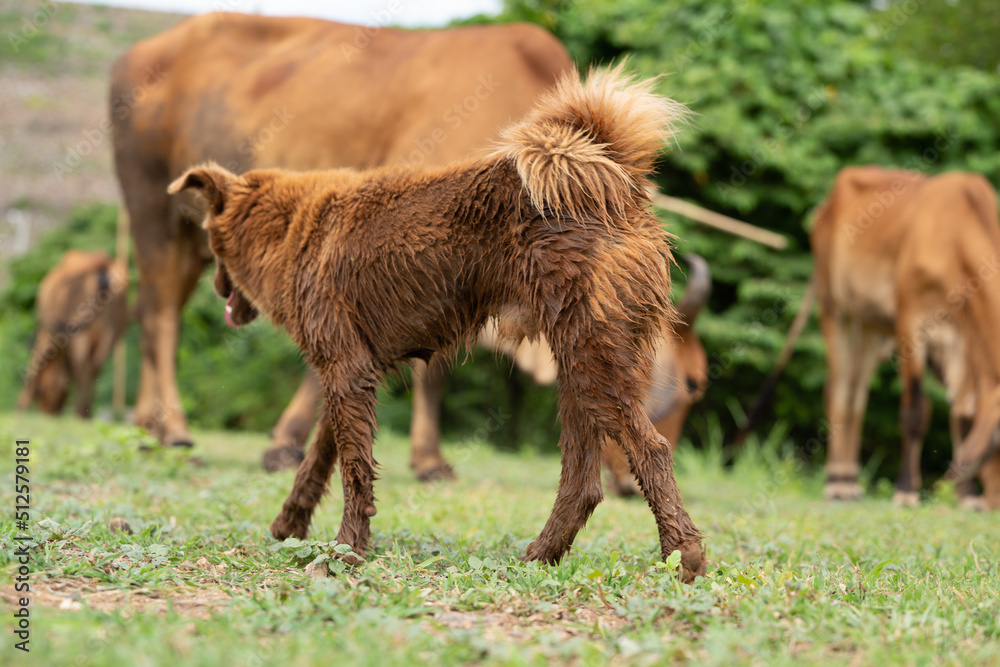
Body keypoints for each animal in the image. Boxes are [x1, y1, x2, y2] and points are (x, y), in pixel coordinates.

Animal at [17, 250, 129, 418]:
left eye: (42, 392)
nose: (49, 412)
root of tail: (100, 263)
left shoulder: (47, 336)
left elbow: (34, 366)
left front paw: (20, 407)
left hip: (80, 335)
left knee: (83, 369)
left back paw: (79, 413)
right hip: (109, 335)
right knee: (92, 370)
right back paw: (85, 413)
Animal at [170, 66, 704, 580]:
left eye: (211, 243)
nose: (217, 290)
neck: (291, 226)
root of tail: (617, 178)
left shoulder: (346, 371)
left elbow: (354, 471)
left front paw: (346, 551)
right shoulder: (348, 374)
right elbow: (319, 460)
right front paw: (291, 525)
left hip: (593, 360)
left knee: (651, 449)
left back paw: (684, 557)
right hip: (579, 366)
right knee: (583, 481)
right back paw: (541, 556)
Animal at [812, 168, 1000, 512]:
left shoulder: (962, 339)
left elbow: (964, 412)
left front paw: (967, 496)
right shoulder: (910, 321)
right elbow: (915, 410)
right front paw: (907, 491)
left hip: (869, 326)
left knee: (857, 393)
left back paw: (849, 481)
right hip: (834, 307)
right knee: (838, 390)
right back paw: (835, 484)